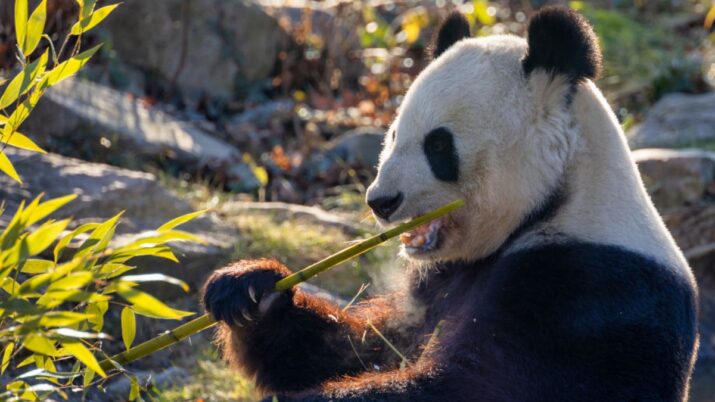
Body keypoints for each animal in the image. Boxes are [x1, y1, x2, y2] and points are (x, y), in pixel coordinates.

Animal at [203, 7, 699, 402]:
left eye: (439, 146)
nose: (381, 201)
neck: (559, 198)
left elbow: (477, 383)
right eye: (393, 135)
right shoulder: (438, 278)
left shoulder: (585, 287)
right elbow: (365, 347)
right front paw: (250, 290)